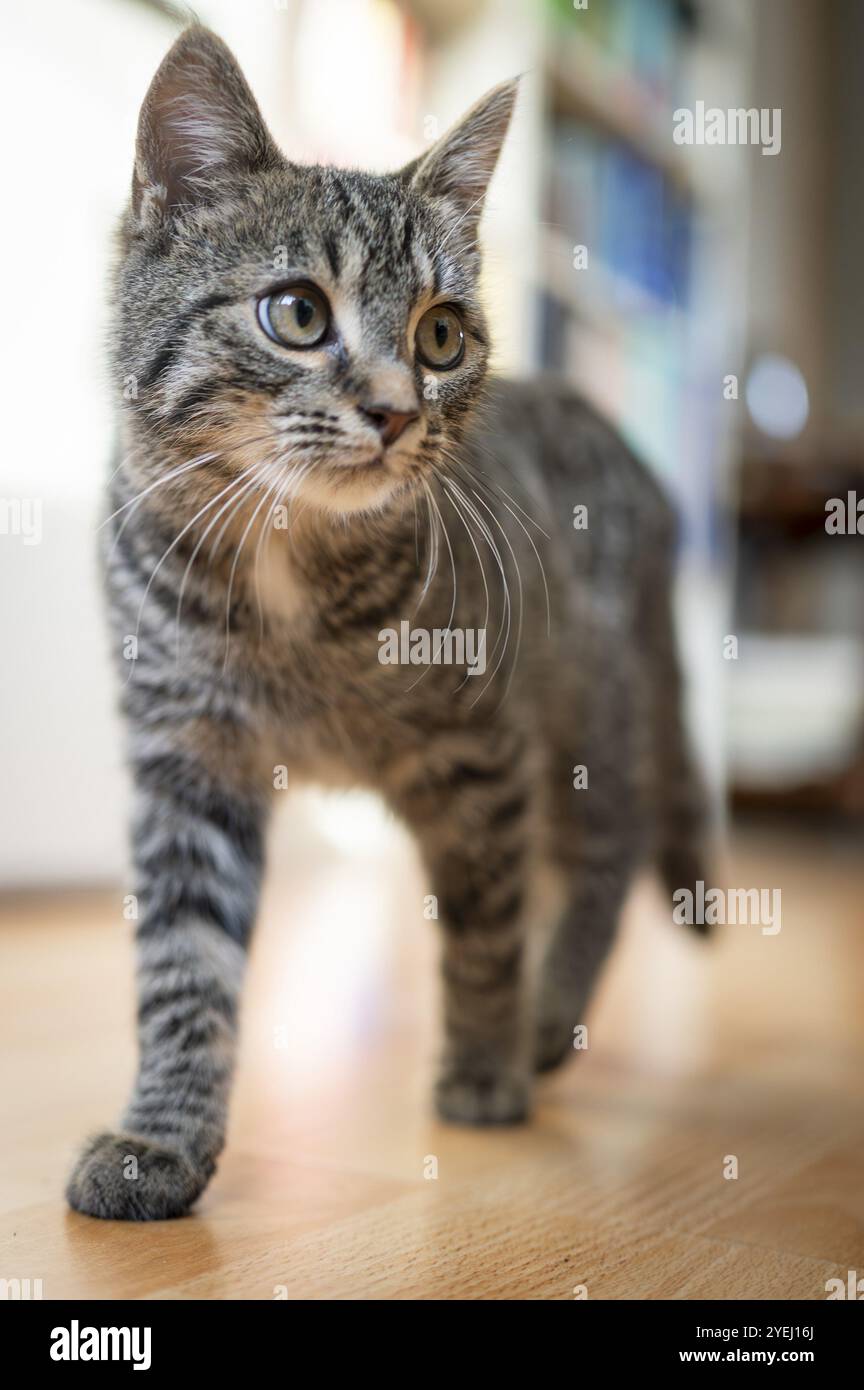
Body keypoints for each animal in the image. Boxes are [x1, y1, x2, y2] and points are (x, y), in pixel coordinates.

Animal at [67, 21, 711, 1217]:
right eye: (298, 312)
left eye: (443, 334)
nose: (398, 409)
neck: (286, 575)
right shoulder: (185, 759)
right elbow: (183, 963)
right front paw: (161, 1137)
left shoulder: (480, 751)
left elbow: (485, 925)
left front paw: (483, 1068)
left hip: (588, 712)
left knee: (605, 852)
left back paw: (545, 1018)